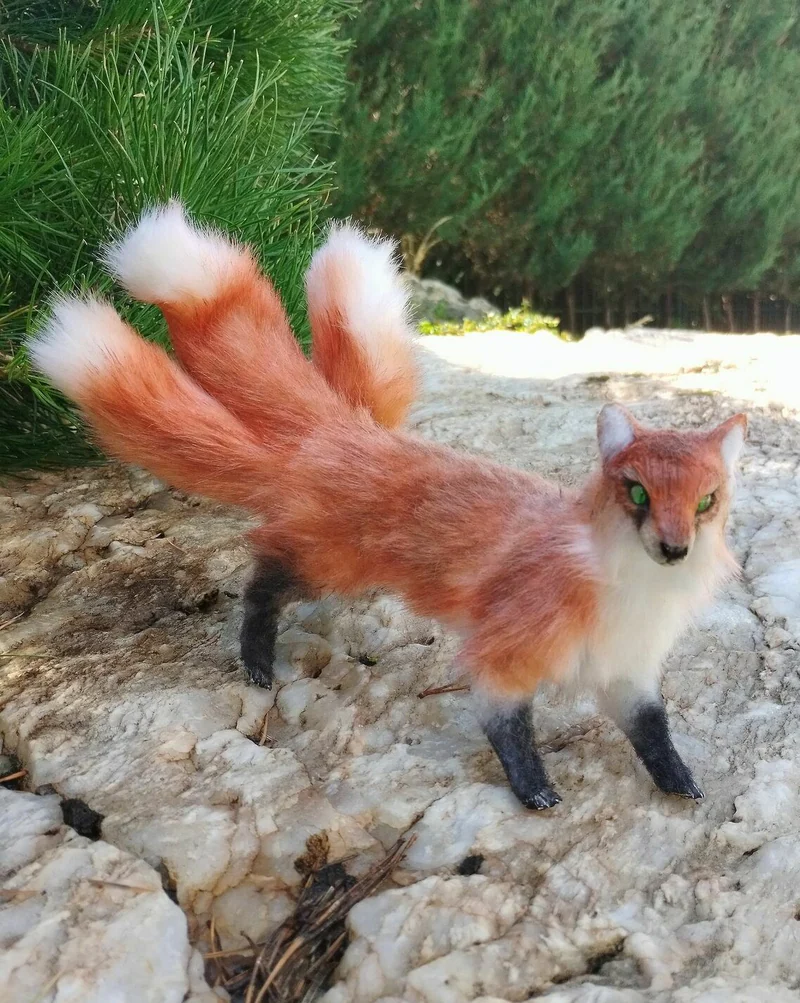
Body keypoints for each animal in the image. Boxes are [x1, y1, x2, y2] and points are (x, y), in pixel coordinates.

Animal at [29, 204, 747, 811]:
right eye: (638, 492)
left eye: (706, 500)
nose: (675, 547)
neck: (631, 596)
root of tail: (341, 432)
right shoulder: (508, 654)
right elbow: (508, 731)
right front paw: (535, 792)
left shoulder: (631, 672)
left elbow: (653, 733)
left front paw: (681, 782)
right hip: (328, 562)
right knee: (261, 582)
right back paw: (256, 664)